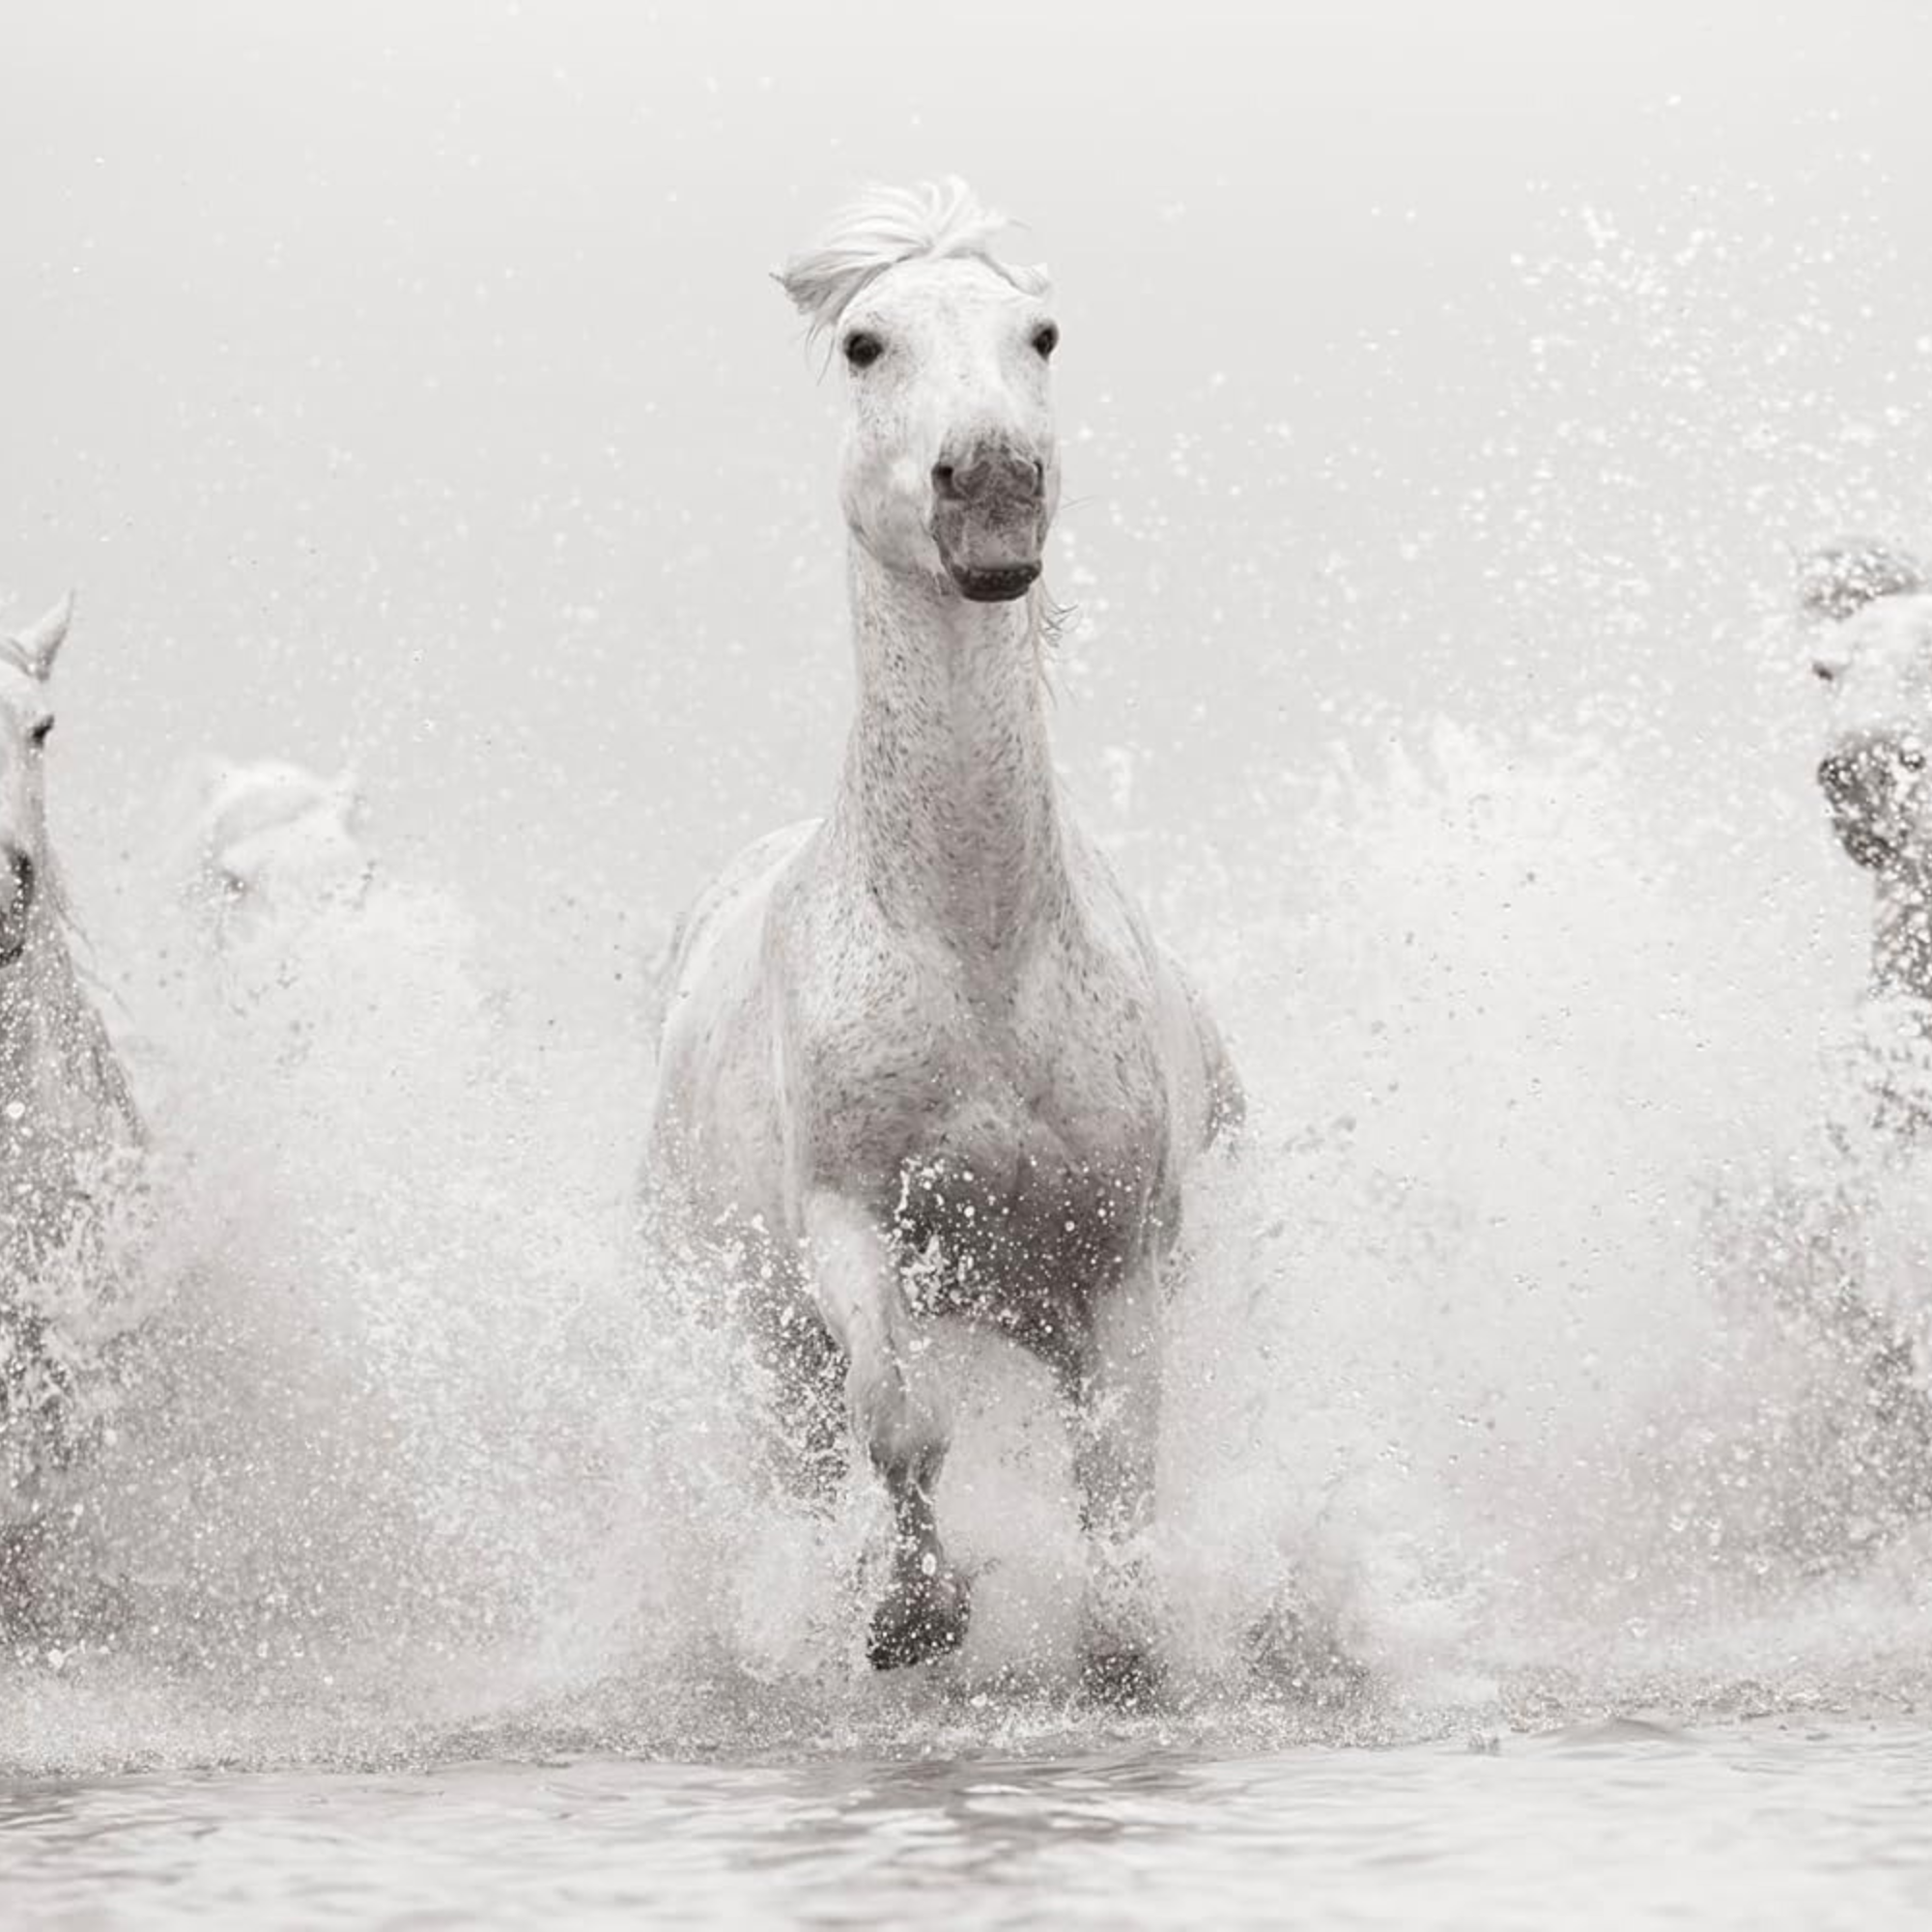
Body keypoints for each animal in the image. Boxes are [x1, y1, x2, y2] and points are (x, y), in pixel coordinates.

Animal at [645, 179, 1243, 1694]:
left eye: (1042, 333)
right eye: (867, 341)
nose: (990, 484)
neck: (975, 949)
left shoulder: (1118, 1260)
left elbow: (1120, 1479)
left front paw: (1120, 1650)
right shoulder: (848, 1222)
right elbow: (902, 1419)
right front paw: (912, 1615)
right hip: (758, 1342)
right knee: (805, 1465)